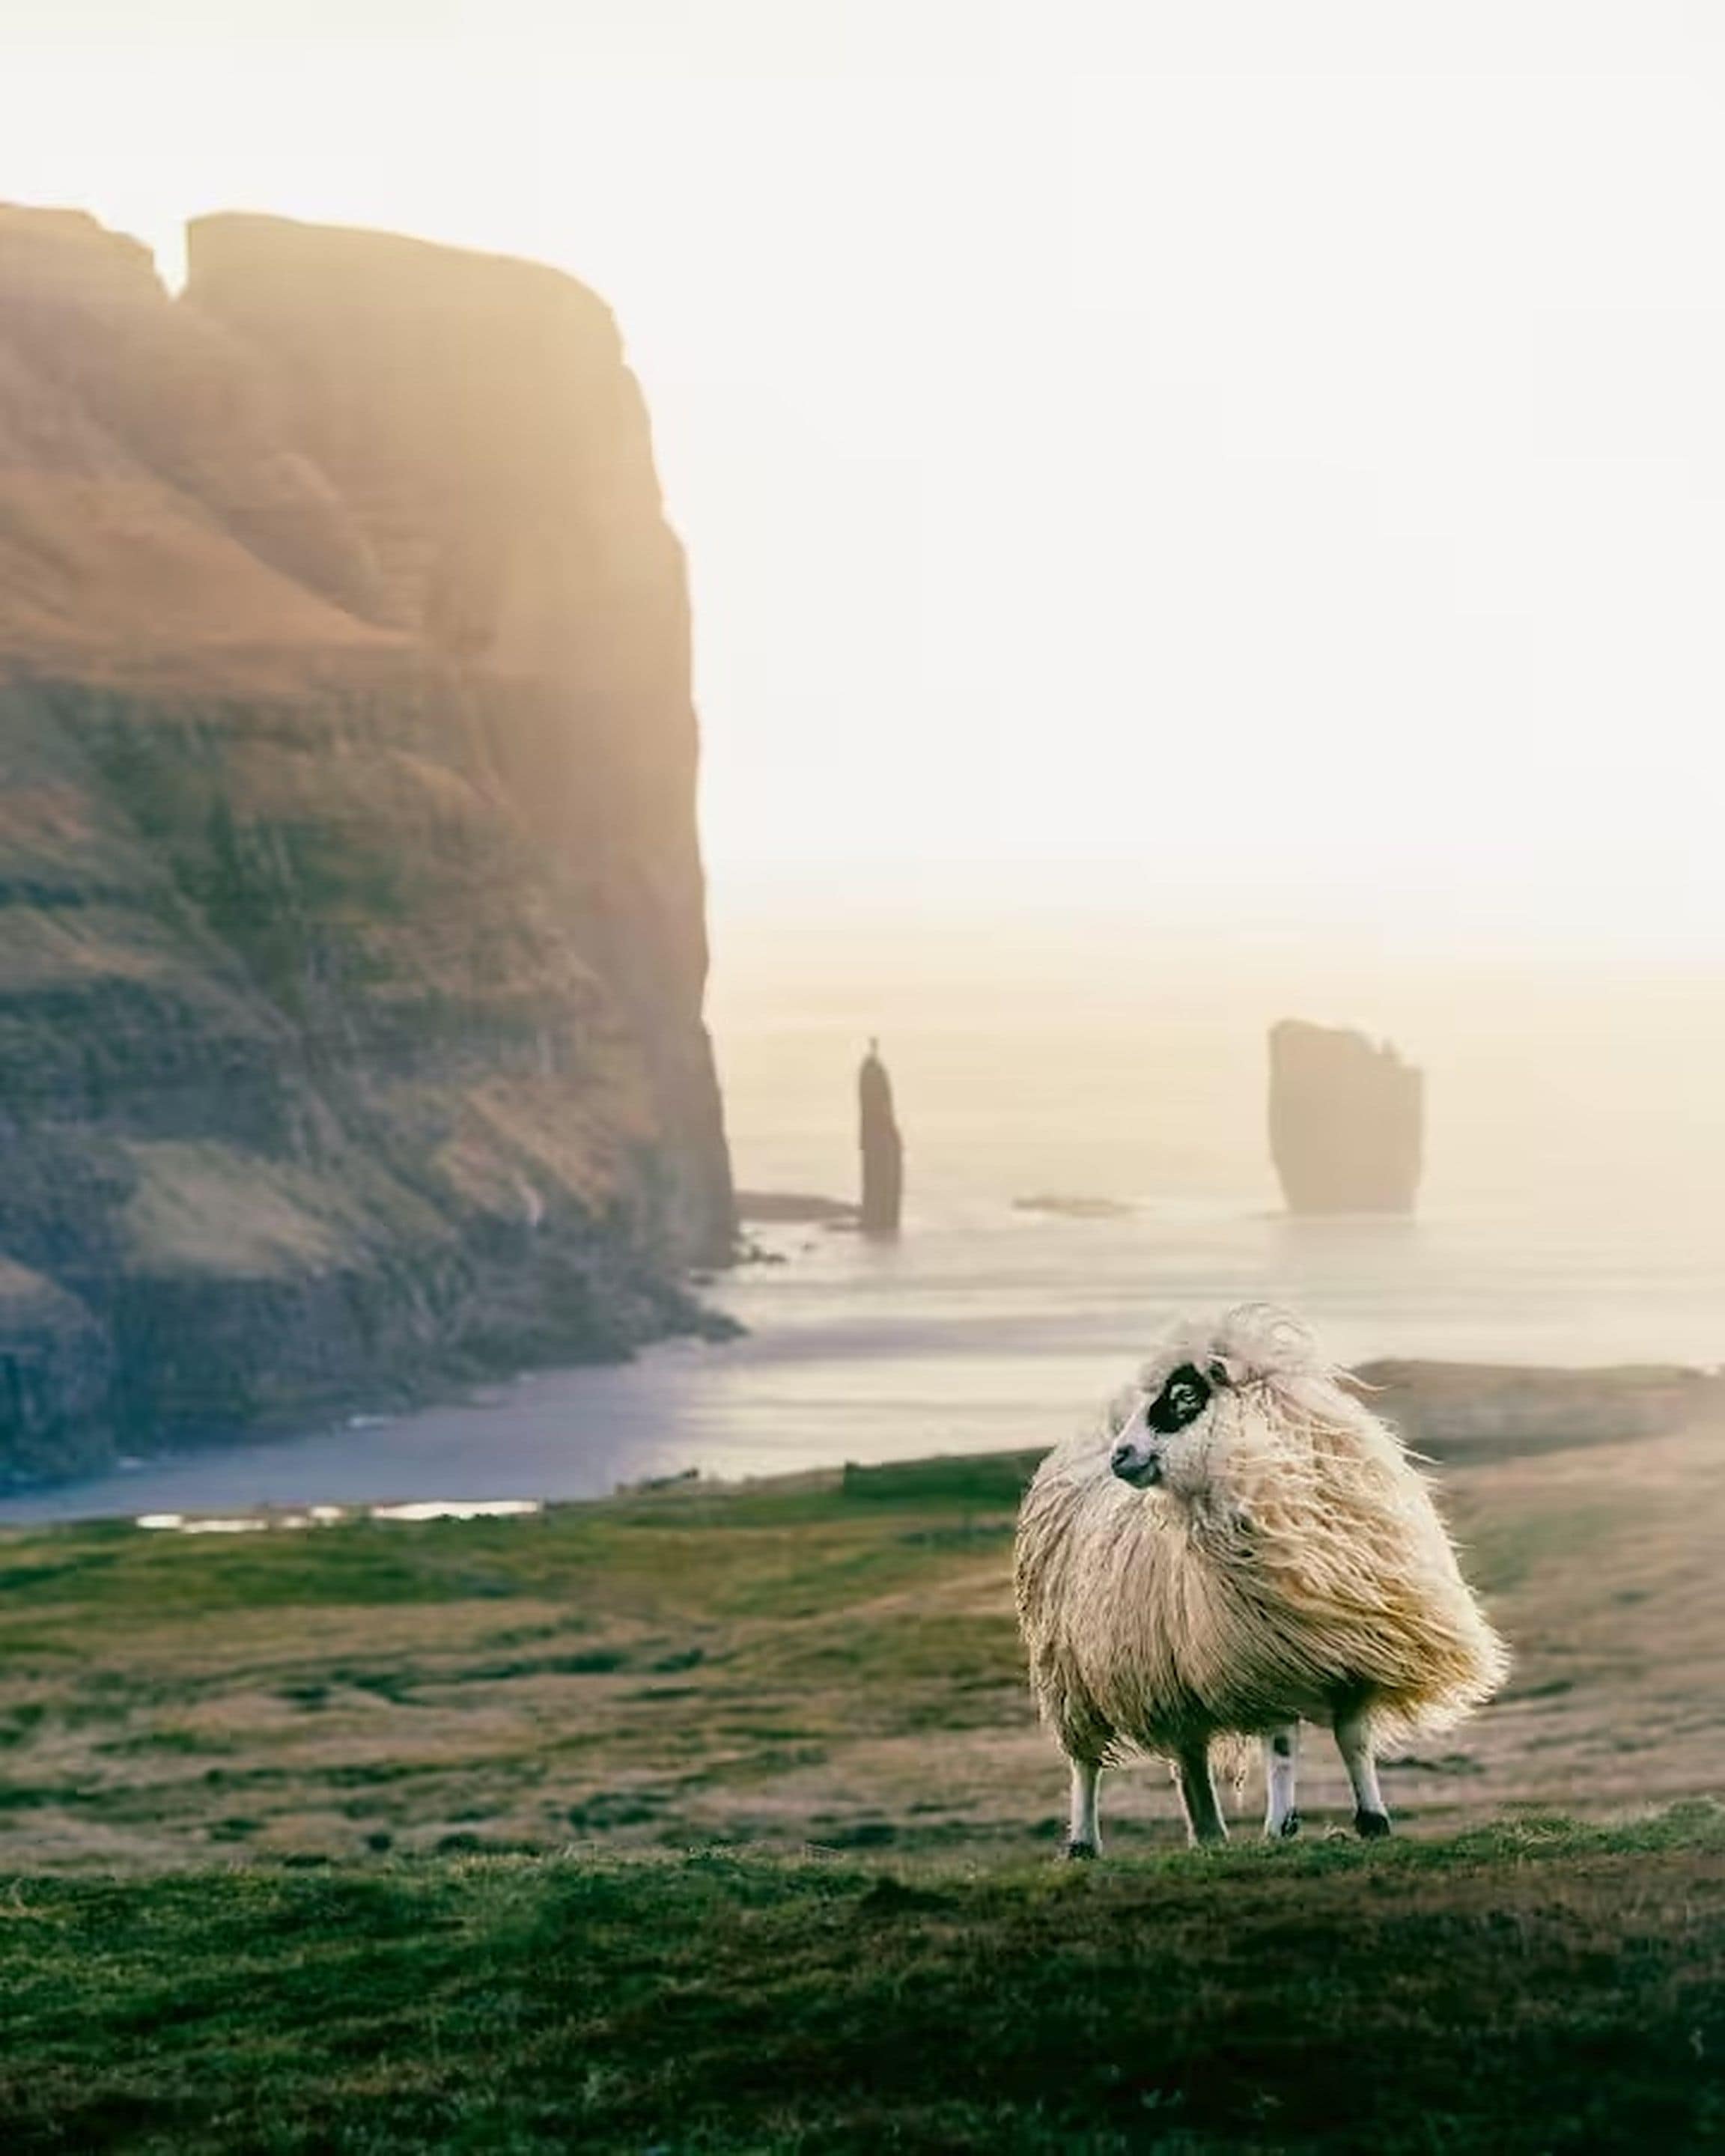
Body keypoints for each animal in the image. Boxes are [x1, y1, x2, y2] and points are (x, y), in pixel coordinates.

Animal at [1013, 1302, 1509, 1855]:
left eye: (1184, 1399)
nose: (1121, 1455)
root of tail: (1087, 1440)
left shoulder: (1356, 1655)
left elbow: (1355, 1741)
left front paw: (1374, 1819)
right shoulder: (1263, 1659)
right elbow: (1282, 1745)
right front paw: (1280, 1825)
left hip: (1170, 1670)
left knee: (1189, 1753)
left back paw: (1210, 1833)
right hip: (1067, 1672)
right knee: (1084, 1762)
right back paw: (1083, 1842)